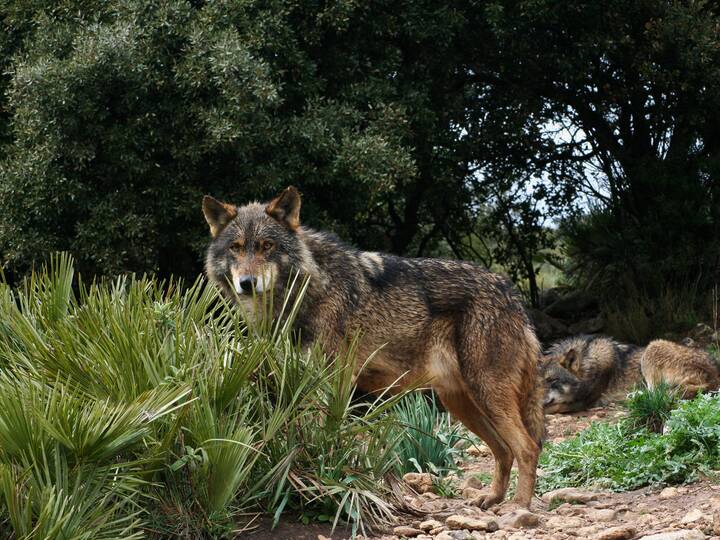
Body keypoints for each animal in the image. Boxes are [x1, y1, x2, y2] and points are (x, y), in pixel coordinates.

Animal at [200, 188, 544, 508]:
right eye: (236, 248)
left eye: (267, 247)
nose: (247, 282)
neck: (309, 287)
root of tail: (513, 296)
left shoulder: (333, 379)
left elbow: (323, 431)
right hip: (461, 403)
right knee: (503, 450)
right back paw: (492, 499)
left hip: (486, 394)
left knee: (528, 447)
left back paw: (519, 508)